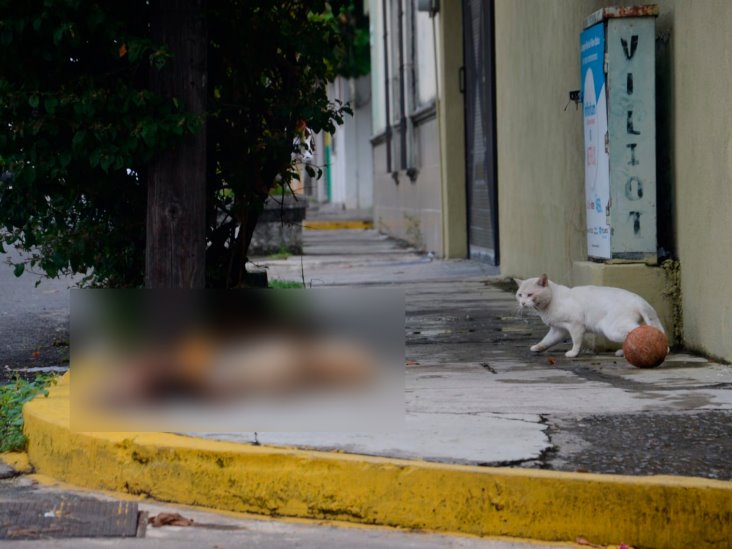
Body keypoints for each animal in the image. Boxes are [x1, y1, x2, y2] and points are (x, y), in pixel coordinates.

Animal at [516, 274, 664, 360]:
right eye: (520, 295)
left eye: (529, 295)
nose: (522, 303)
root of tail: (639, 299)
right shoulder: (559, 330)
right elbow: (547, 340)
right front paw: (538, 347)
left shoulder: (575, 324)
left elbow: (576, 341)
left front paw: (573, 353)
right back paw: (624, 352)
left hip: (611, 329)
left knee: (638, 331)